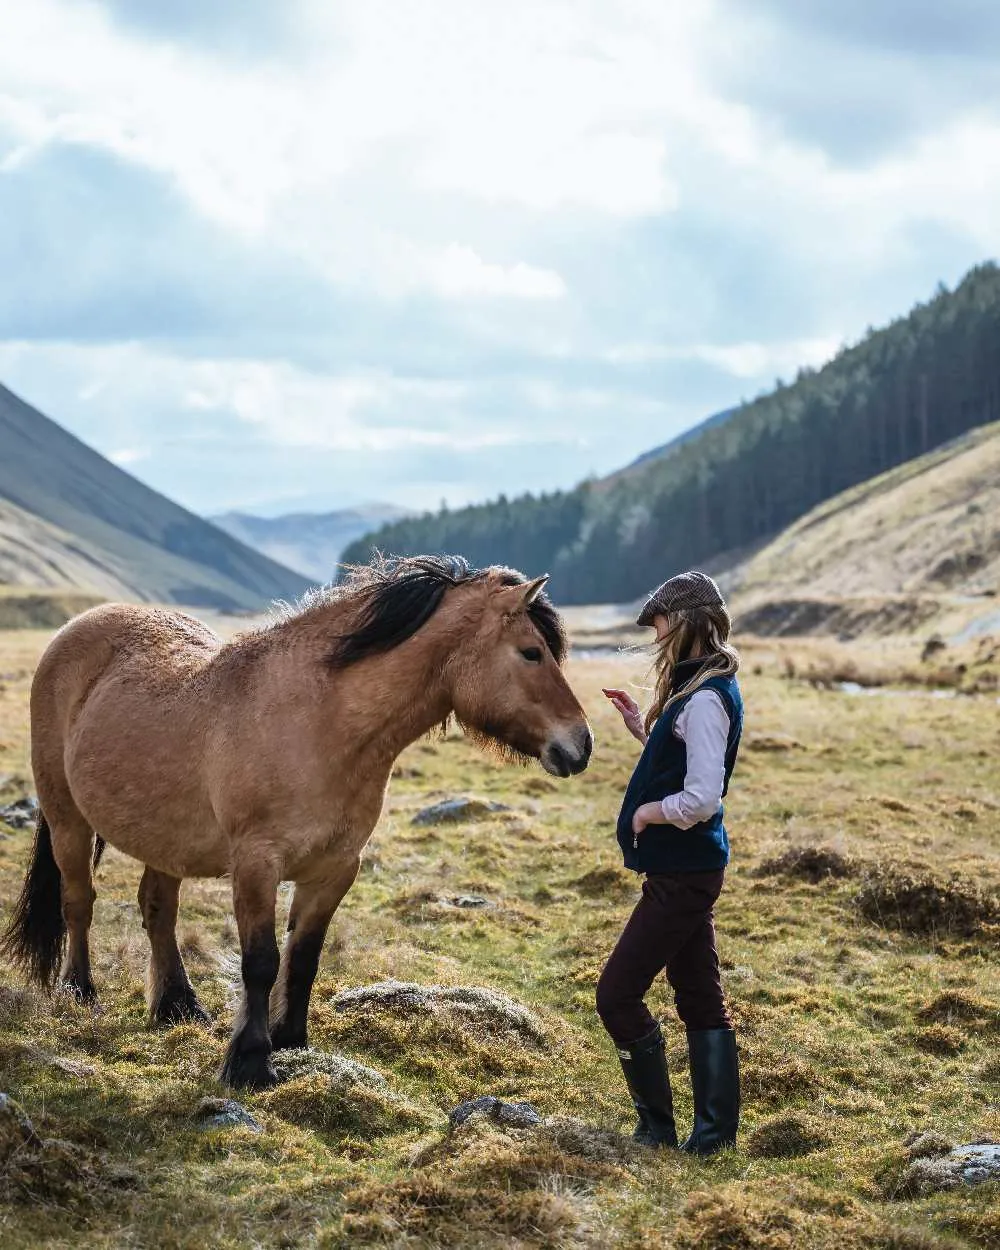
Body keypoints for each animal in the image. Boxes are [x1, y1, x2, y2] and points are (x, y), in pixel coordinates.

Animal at [1, 552, 595, 1090]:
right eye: (531, 653)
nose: (580, 745)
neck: (320, 723)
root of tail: (79, 628)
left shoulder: (335, 869)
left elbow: (304, 957)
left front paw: (291, 1041)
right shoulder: (257, 864)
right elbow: (261, 961)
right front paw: (248, 1061)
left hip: (164, 838)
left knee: (157, 909)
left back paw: (177, 1005)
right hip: (67, 817)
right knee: (79, 901)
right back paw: (80, 992)